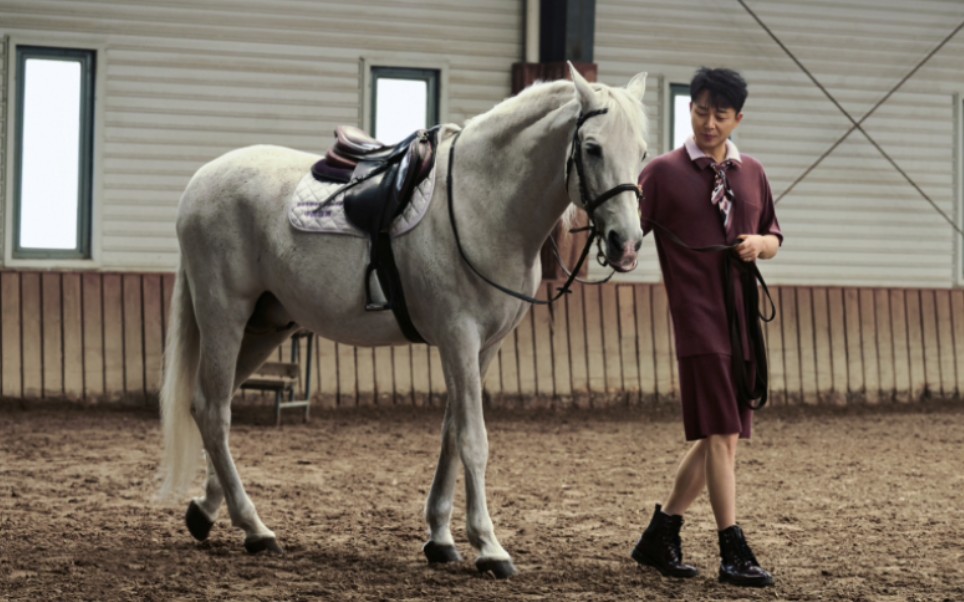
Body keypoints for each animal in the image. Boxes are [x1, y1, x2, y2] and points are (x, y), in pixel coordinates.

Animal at [160, 62, 648, 576]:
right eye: (592, 148)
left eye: (641, 151)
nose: (626, 243)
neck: (481, 202)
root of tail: (201, 181)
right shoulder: (458, 338)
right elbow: (473, 439)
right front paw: (489, 546)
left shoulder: (484, 347)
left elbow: (451, 433)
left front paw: (441, 538)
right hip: (224, 317)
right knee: (214, 411)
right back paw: (254, 527)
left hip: (264, 328)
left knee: (212, 405)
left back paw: (209, 512)